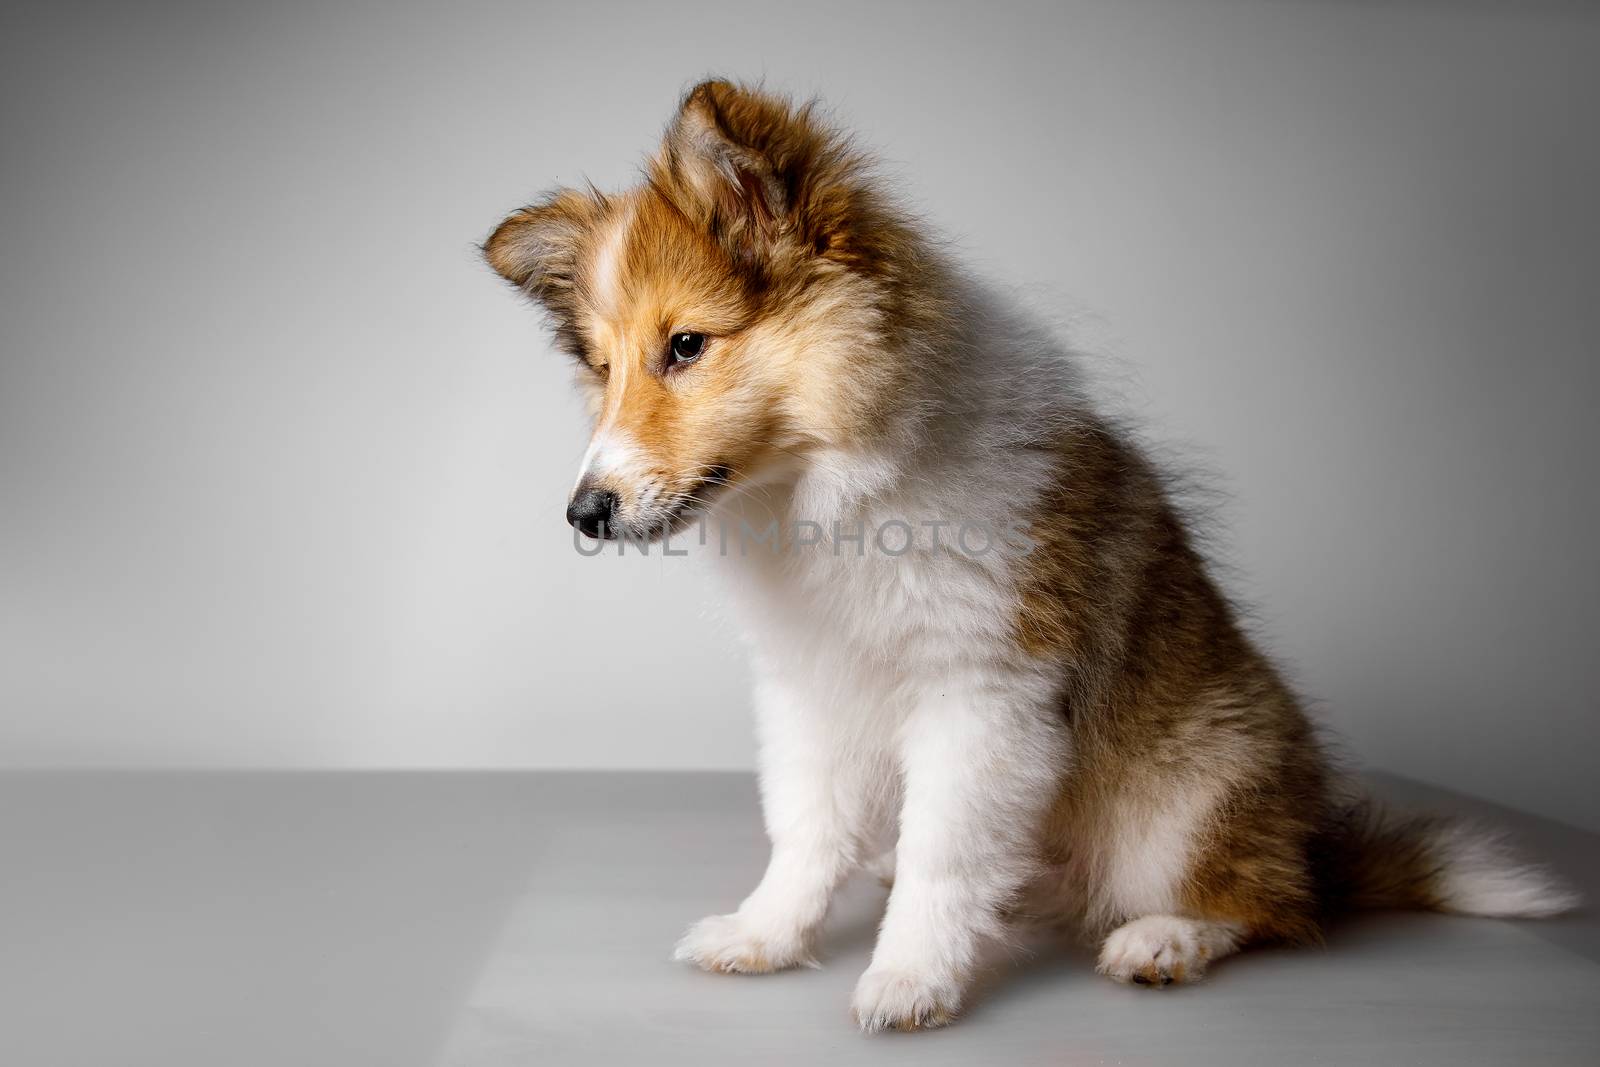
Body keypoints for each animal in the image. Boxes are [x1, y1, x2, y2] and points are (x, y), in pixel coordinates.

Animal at [476, 79, 1574, 1030]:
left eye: (687, 346)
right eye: (604, 369)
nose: (584, 512)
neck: (842, 482)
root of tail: (1311, 842)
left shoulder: (983, 693)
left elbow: (943, 855)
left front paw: (909, 981)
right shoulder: (810, 689)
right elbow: (804, 828)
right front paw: (765, 933)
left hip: (1188, 794)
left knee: (1267, 903)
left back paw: (1163, 939)